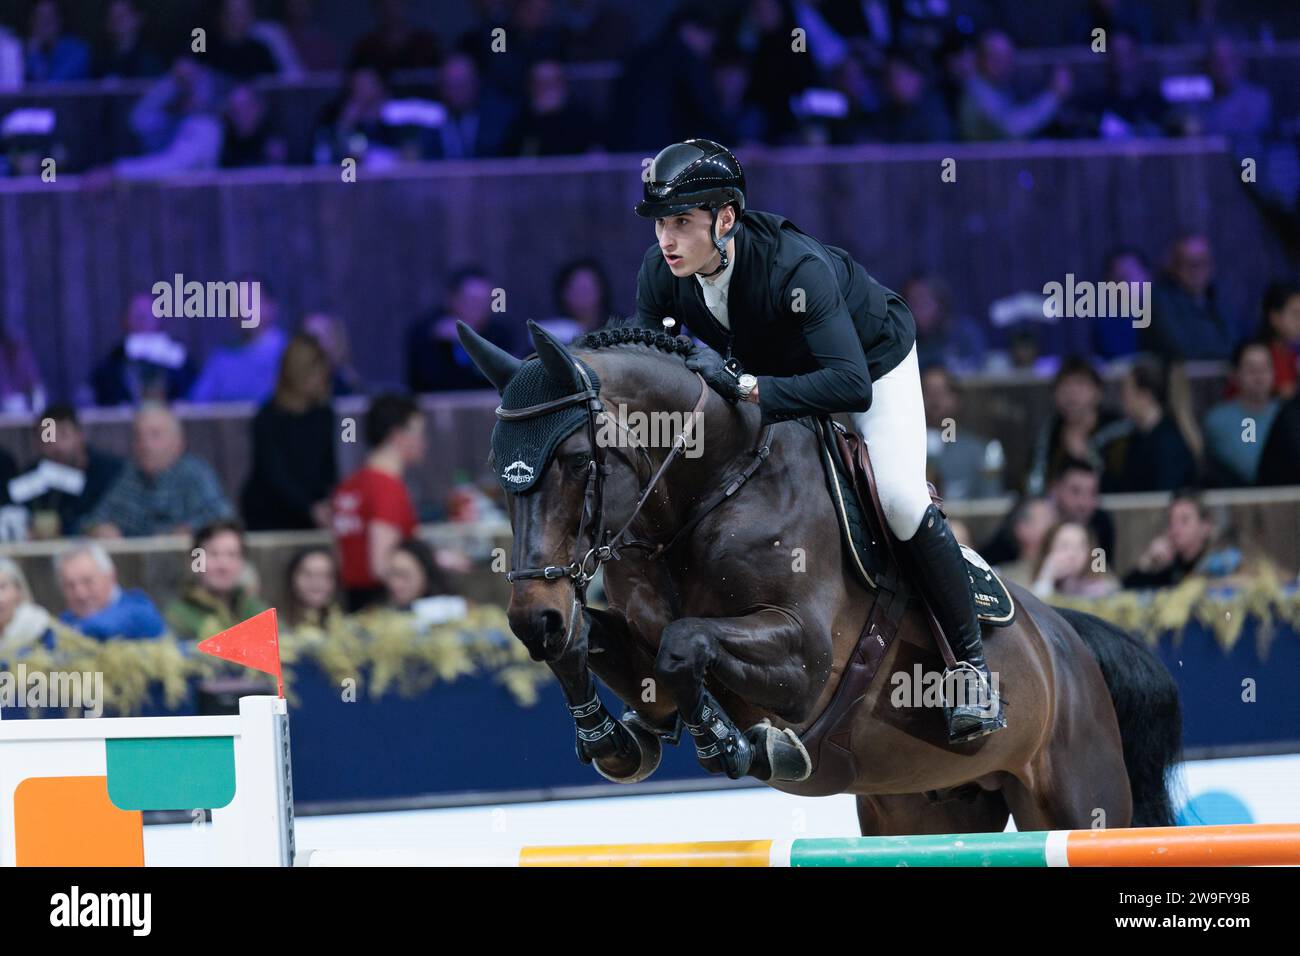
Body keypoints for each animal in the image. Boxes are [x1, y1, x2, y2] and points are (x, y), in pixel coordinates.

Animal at [462, 317, 1185, 832]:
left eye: (577, 461)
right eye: (499, 468)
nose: (532, 616)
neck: (712, 490)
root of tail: (1072, 641)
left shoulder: (805, 659)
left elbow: (684, 643)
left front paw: (733, 743)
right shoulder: (635, 643)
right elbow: (595, 645)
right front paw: (614, 741)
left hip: (1075, 803)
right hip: (924, 810)